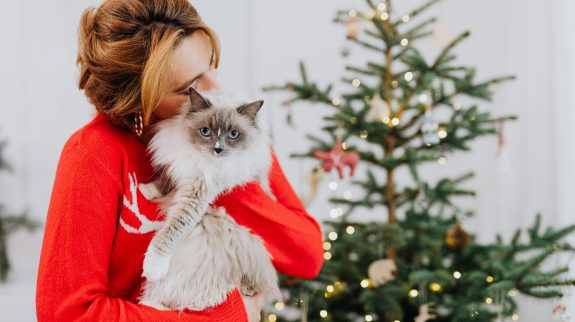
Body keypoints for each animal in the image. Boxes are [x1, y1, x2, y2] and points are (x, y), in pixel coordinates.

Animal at [141, 87, 282, 310]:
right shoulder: (181, 169)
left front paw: (153, 267)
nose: (218, 149)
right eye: (206, 131)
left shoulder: (196, 194)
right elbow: (163, 182)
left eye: (233, 134)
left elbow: (170, 232)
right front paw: (146, 190)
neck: (200, 158)